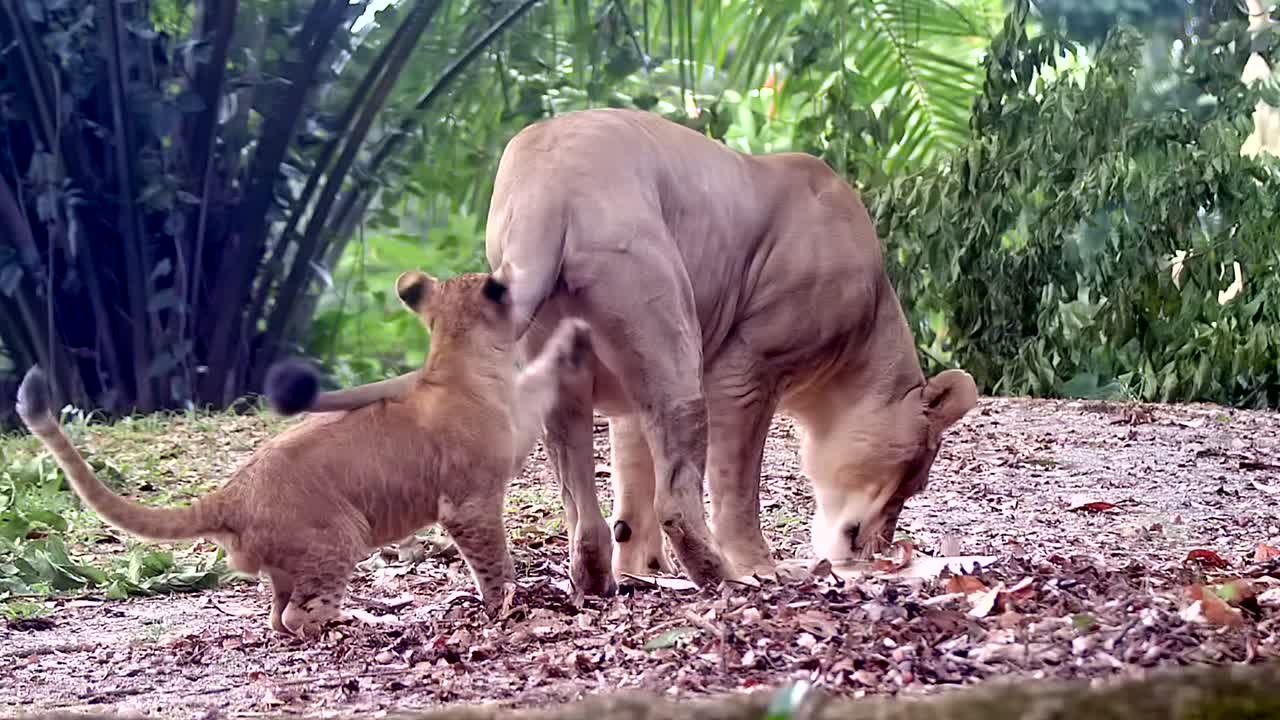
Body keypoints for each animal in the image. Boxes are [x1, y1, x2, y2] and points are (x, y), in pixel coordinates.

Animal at [14, 271, 593, 636]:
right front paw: (510, 603)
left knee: (278, 618)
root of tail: (228, 494)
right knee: (299, 617)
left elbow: (540, 377)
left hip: (289, 563)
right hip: (339, 537)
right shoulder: (468, 503)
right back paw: (361, 625)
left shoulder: (518, 420)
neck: (457, 357)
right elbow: (493, 560)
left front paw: (571, 335)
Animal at [258, 108, 979, 596]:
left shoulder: (633, 395)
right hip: (675, 340)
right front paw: (757, 565)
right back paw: (722, 576)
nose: (881, 547)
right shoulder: (745, 368)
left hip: (570, 358)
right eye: (914, 475)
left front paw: (642, 569)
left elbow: (633, 482)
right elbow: (732, 484)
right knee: (681, 500)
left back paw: (599, 576)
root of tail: (547, 182)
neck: (867, 328)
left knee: (583, 499)